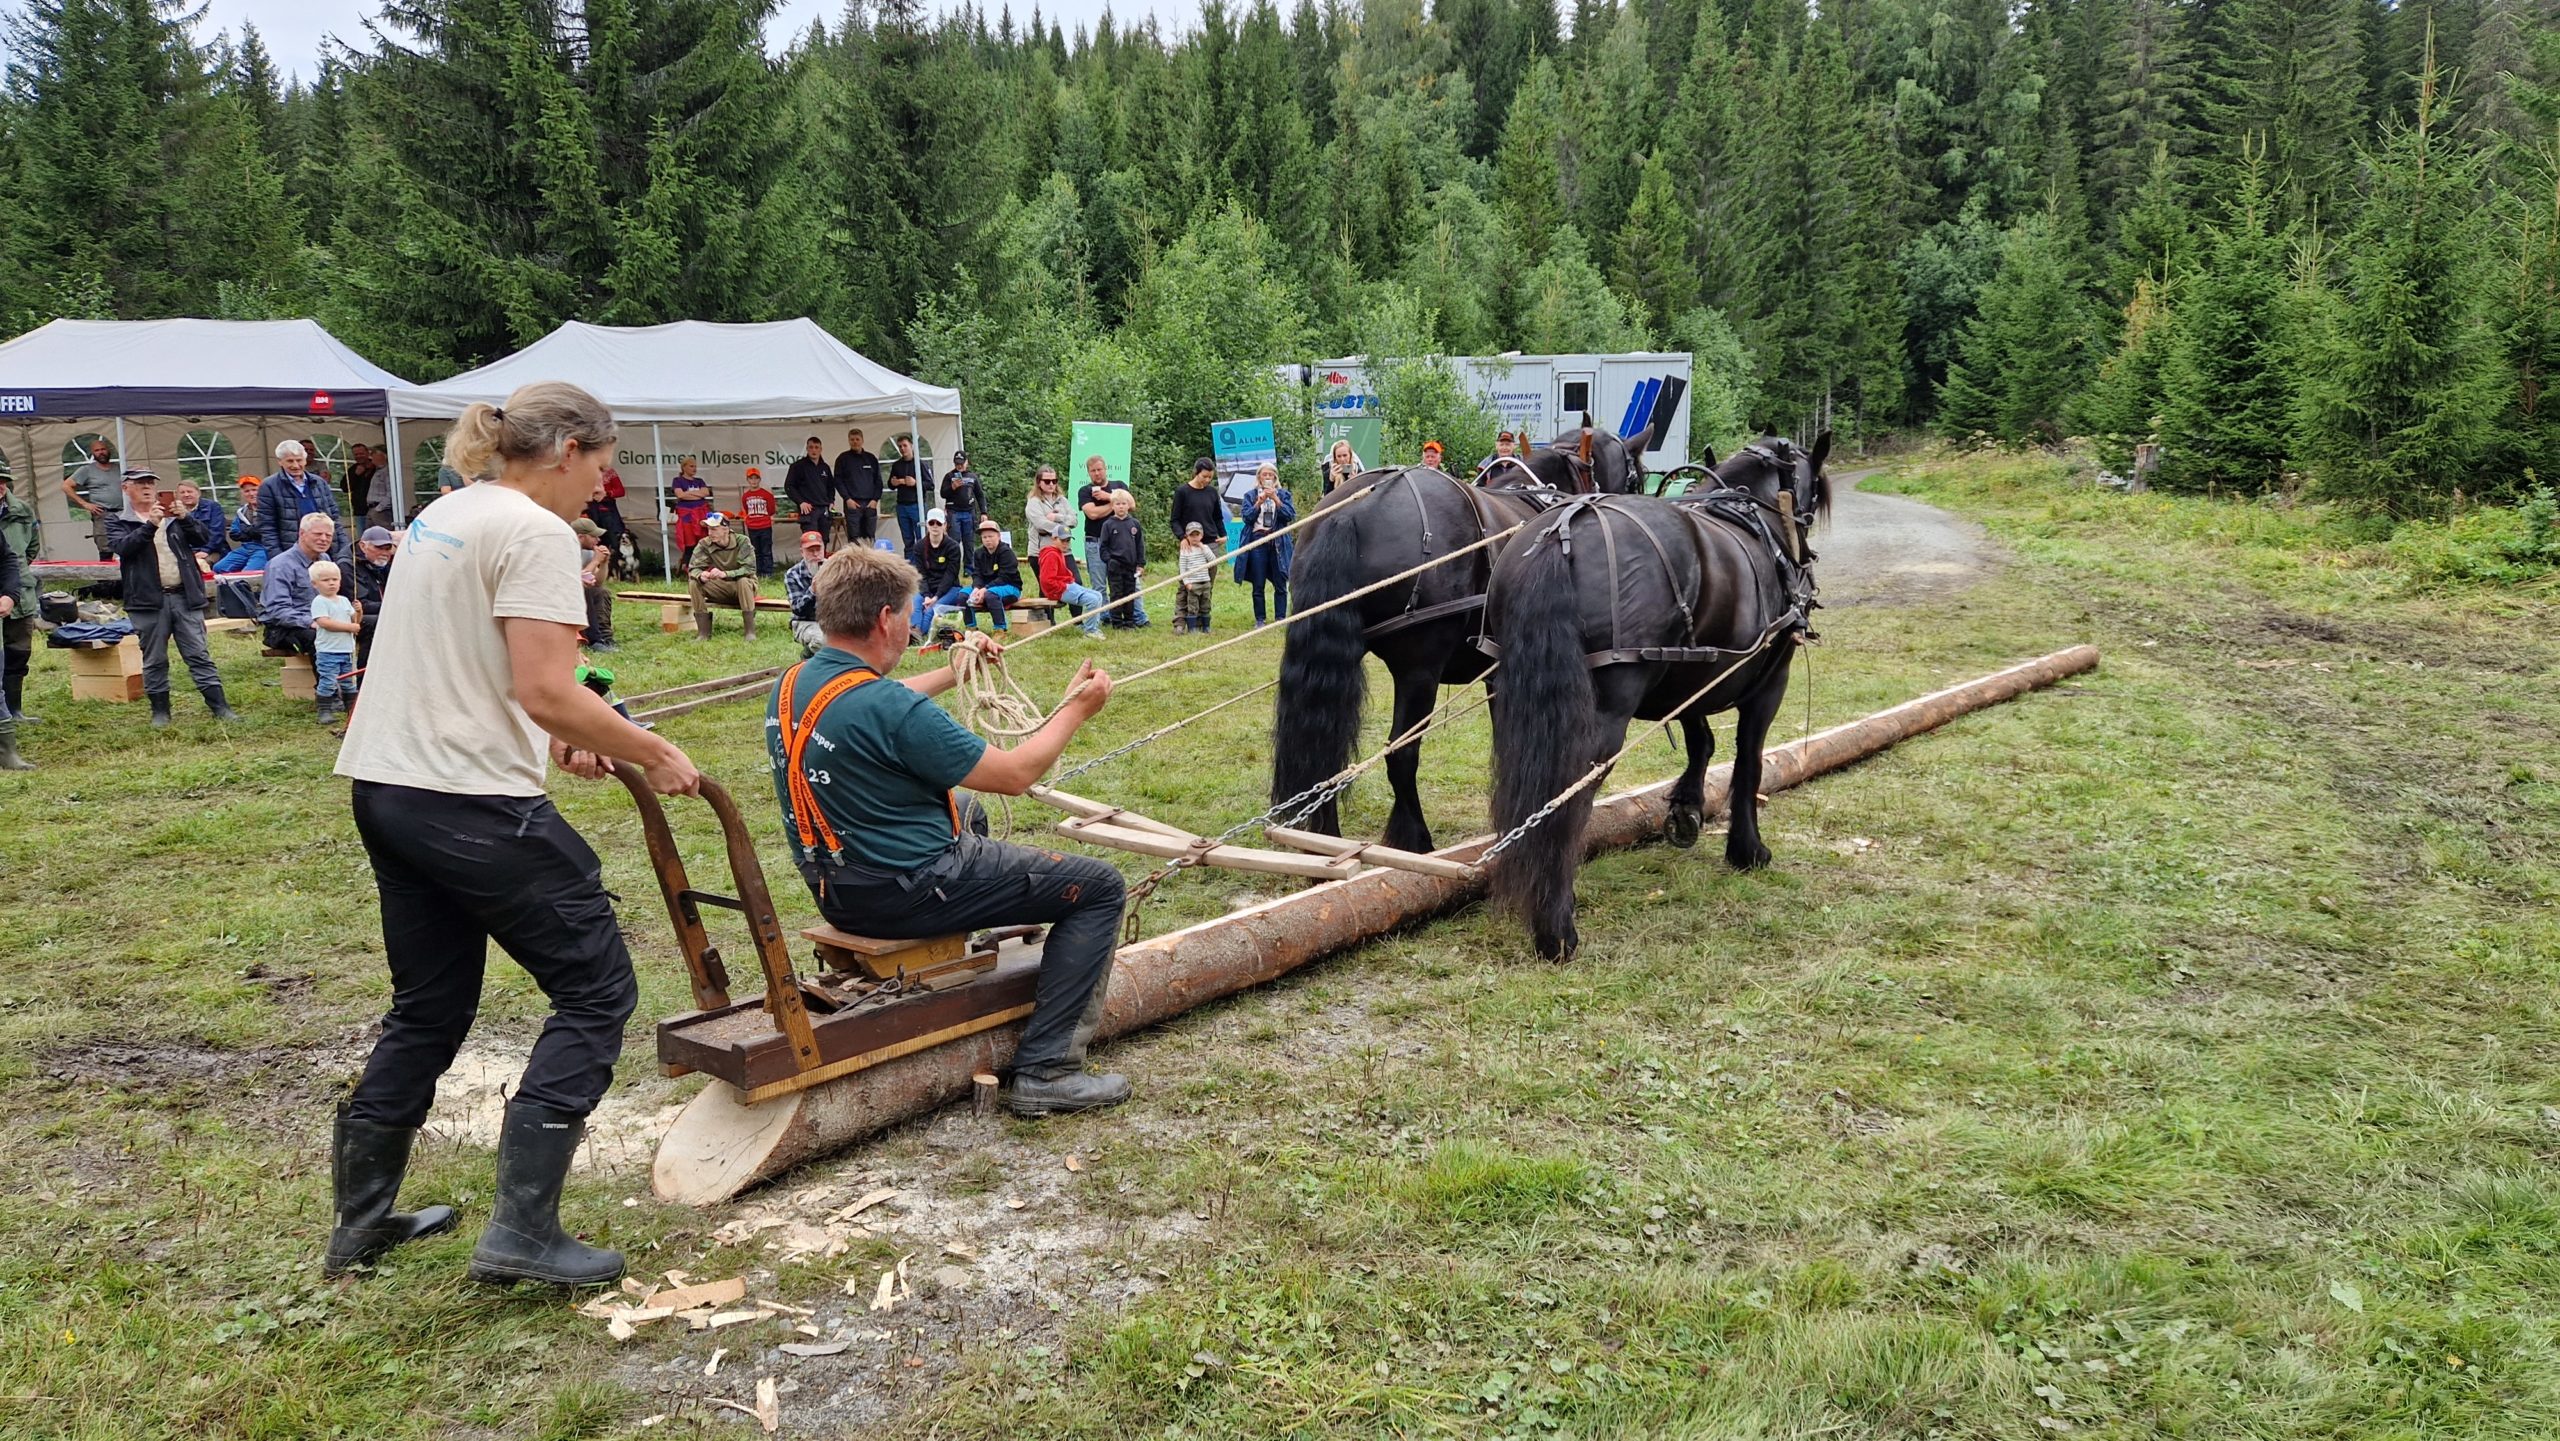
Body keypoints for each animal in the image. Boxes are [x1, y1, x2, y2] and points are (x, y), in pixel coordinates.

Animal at [1274, 417, 1658, 849]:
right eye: (1637, 475)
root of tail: (1353, 511)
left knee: (1325, 747)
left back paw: (1325, 839)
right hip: (1419, 671)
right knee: (1401, 753)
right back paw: (1416, 841)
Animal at [1484, 435, 1822, 962]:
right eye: (1815, 492)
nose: (1807, 553)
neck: (1755, 515)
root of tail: (1561, 533)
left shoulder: (1690, 673)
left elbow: (1700, 739)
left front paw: (1685, 809)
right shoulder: (1770, 682)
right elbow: (1749, 761)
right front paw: (1747, 849)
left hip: (1509, 701)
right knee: (1570, 795)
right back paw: (1555, 927)